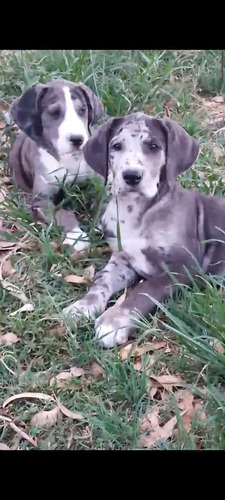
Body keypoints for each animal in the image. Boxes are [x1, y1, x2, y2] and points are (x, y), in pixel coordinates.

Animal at [8, 79, 104, 252]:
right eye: (54, 112)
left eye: (82, 110)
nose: (78, 139)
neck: (69, 159)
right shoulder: (40, 201)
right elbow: (62, 213)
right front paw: (76, 236)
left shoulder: (100, 183)